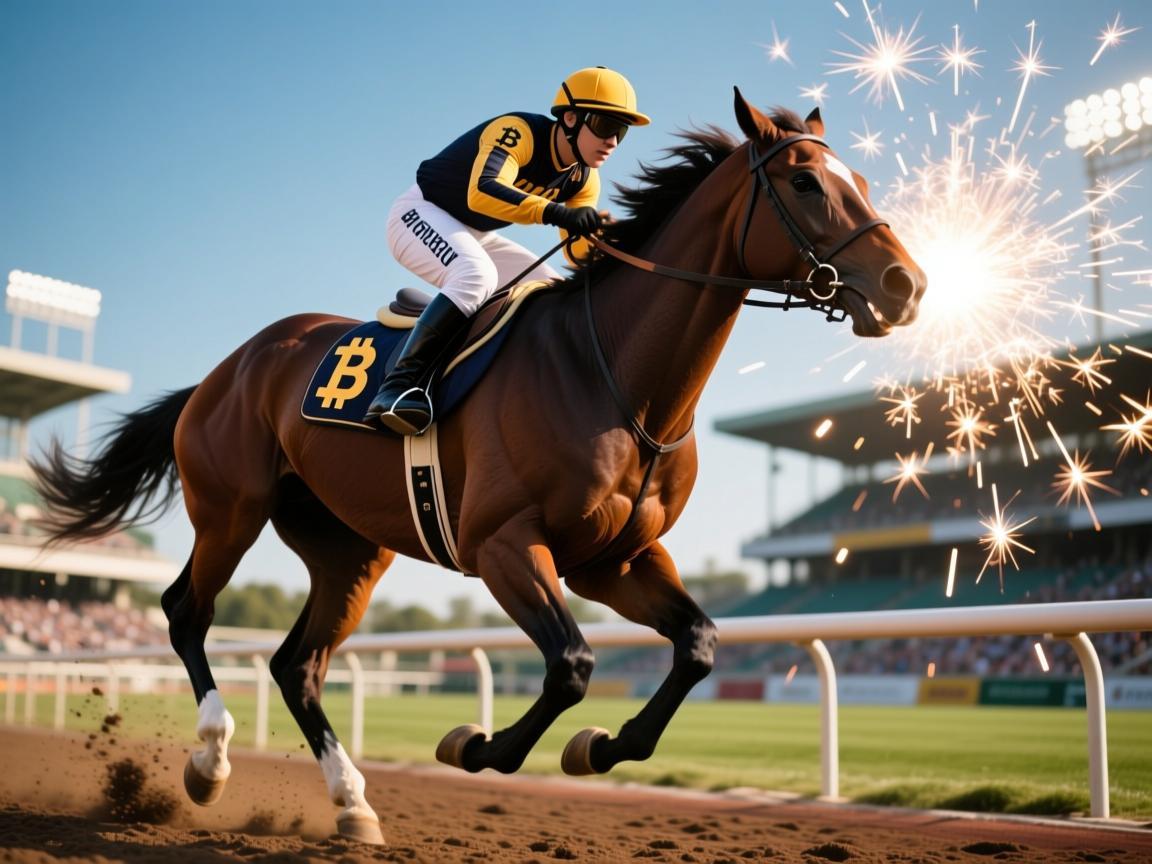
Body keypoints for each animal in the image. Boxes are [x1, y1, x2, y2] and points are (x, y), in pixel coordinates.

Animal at [32, 90, 925, 844]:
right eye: (805, 182)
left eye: (861, 179)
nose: (905, 284)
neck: (614, 372)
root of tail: (230, 366)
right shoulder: (504, 544)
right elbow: (572, 665)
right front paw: (477, 745)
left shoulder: (615, 558)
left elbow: (698, 646)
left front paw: (600, 747)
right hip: (230, 507)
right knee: (187, 611)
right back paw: (212, 758)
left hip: (349, 549)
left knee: (297, 665)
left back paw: (353, 803)